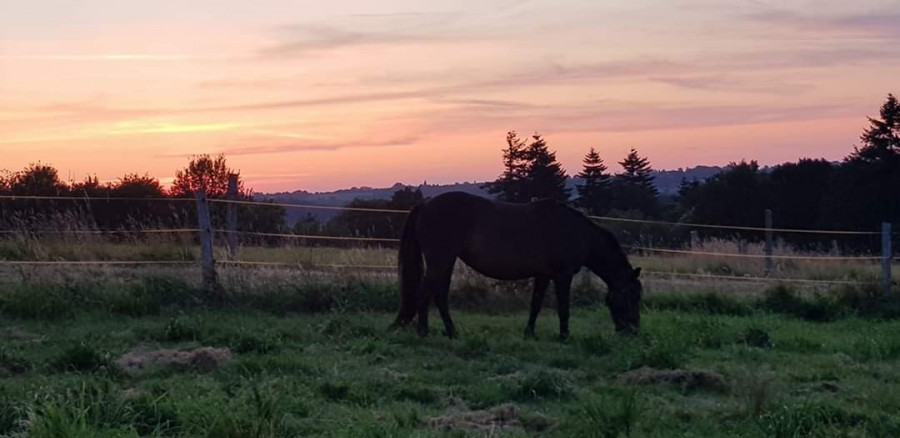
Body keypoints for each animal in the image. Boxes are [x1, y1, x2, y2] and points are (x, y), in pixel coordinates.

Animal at [390, 192, 644, 338]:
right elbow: (563, 307)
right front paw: (564, 336)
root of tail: (426, 204)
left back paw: (451, 332)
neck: (576, 232)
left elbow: (536, 304)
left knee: (438, 295)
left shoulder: (543, 275)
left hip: (445, 261)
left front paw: (529, 333)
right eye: (632, 296)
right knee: (427, 294)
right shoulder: (562, 275)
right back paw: (425, 332)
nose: (633, 331)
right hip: (440, 260)